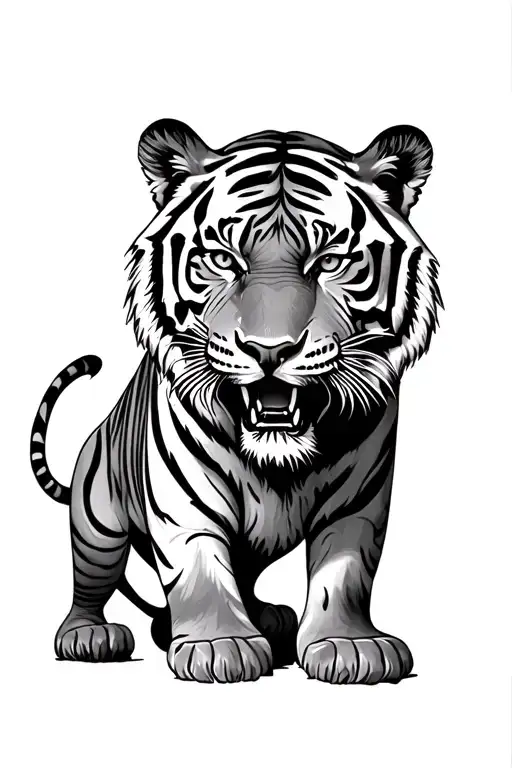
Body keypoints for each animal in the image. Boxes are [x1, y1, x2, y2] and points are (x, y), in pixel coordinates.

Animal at [31, 119, 441, 684]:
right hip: (97, 518)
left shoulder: (359, 502)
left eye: (330, 261)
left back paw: (264, 618)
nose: (269, 350)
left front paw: (349, 643)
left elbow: (348, 570)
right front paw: (218, 644)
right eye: (223, 259)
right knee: (90, 579)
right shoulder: (183, 503)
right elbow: (198, 565)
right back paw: (88, 634)